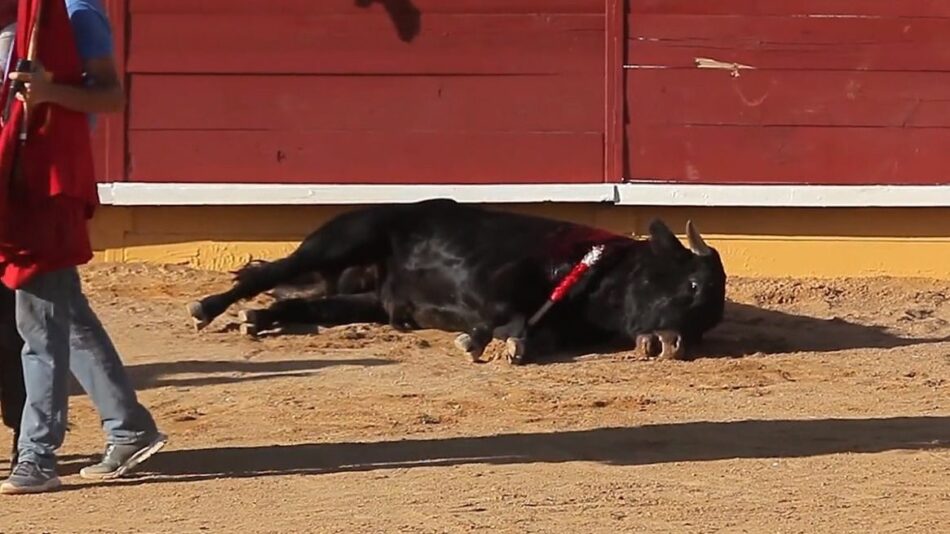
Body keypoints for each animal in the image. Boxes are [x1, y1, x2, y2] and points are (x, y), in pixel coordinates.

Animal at [188, 199, 728, 366]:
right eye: (692, 286)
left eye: (710, 322)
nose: (676, 344)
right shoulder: (483, 280)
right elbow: (507, 315)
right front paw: (479, 342)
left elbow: (537, 333)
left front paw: (510, 344)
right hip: (341, 240)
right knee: (269, 272)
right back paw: (208, 308)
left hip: (355, 298)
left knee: (299, 303)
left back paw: (257, 318)